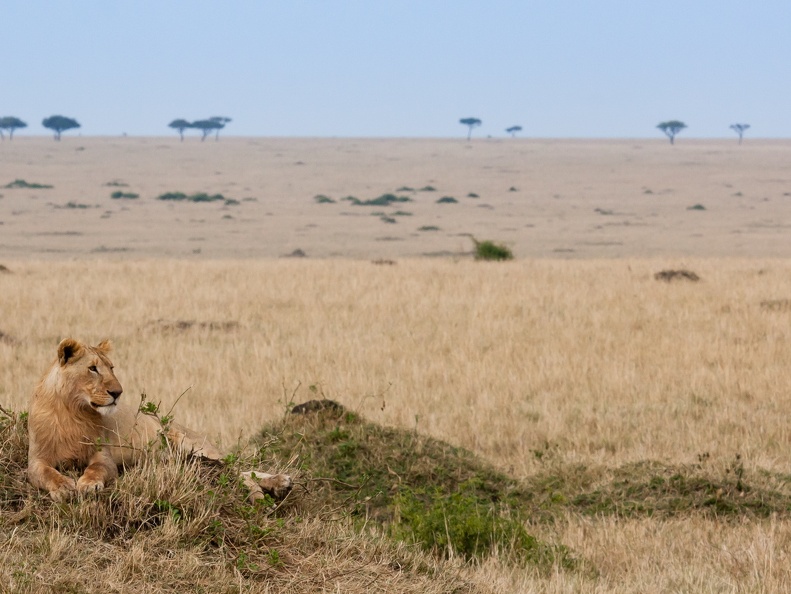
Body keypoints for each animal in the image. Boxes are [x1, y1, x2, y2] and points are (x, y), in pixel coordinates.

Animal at [27, 338, 292, 503]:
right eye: (92, 368)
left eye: (112, 367)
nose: (118, 392)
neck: (73, 411)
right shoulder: (37, 458)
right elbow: (46, 473)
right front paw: (63, 487)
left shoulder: (104, 456)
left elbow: (96, 468)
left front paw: (88, 484)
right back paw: (280, 484)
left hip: (189, 444)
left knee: (236, 469)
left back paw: (269, 487)